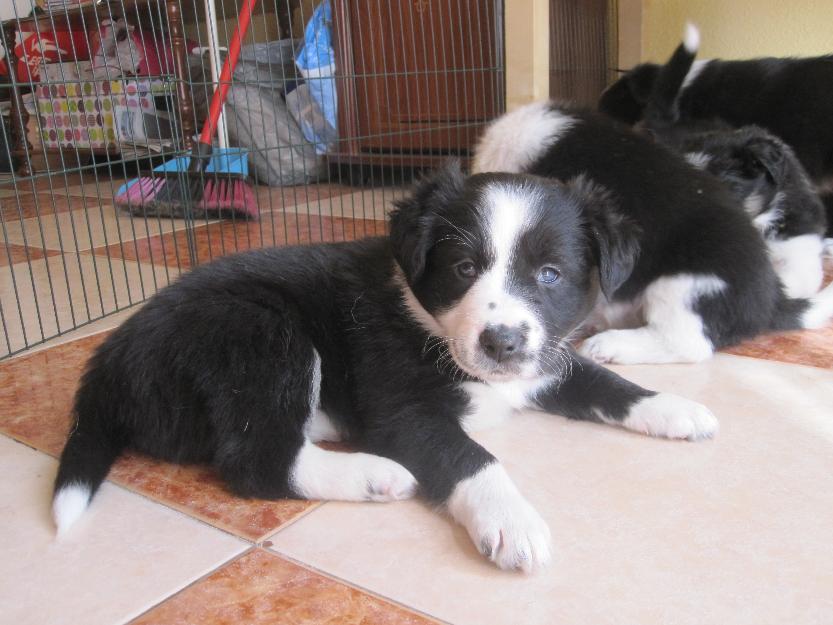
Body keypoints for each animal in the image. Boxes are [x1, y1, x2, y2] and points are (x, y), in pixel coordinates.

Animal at [52, 162, 720, 572]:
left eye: (550, 275)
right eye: (463, 269)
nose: (501, 343)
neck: (430, 326)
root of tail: (109, 357)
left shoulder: (544, 358)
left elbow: (602, 381)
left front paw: (678, 409)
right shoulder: (403, 409)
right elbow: (472, 457)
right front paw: (512, 522)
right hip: (261, 332)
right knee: (256, 461)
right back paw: (375, 475)